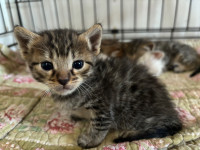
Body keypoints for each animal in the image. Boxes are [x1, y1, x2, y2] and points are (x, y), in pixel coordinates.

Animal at [14, 24, 183, 148]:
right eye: (46, 65)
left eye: (78, 64)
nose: (63, 80)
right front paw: (78, 115)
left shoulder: (103, 104)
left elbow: (100, 124)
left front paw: (90, 140)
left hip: (132, 112)